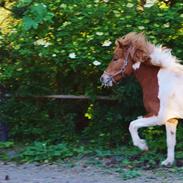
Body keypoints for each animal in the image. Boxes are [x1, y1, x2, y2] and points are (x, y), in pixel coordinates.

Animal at [100, 32, 183, 167]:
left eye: (115, 58)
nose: (103, 78)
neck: (158, 82)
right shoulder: (170, 119)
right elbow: (170, 141)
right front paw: (168, 162)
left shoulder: (158, 116)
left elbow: (132, 124)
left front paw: (143, 145)